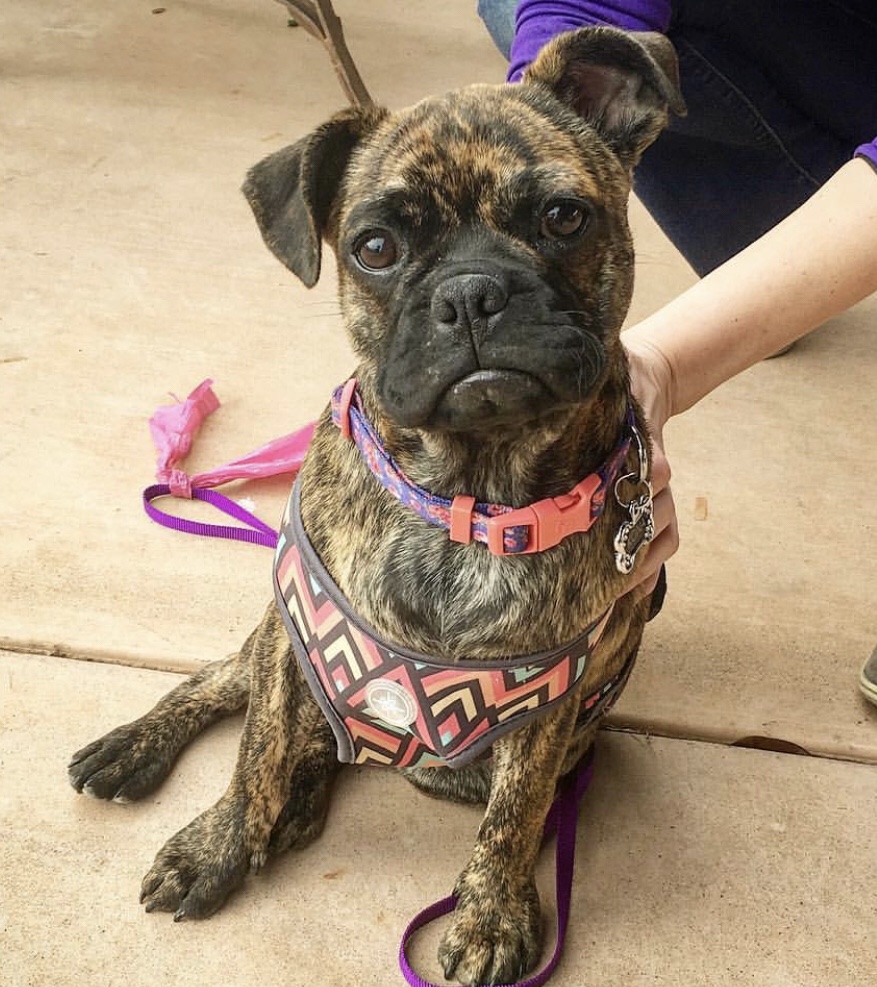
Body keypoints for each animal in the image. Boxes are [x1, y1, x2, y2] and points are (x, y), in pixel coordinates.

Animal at [68, 27, 684, 984]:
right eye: (374, 247)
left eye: (562, 218)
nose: (469, 292)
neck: (467, 494)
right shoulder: (297, 635)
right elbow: (256, 748)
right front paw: (217, 843)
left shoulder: (550, 706)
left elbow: (513, 815)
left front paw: (490, 914)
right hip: (271, 638)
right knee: (220, 683)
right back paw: (146, 748)